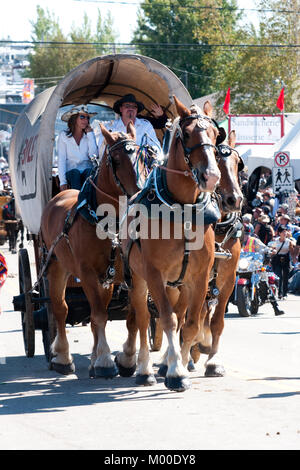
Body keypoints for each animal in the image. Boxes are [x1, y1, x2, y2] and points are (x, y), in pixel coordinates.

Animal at [39, 123, 139, 376]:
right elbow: (99, 315)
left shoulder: (125, 274)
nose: (136, 195)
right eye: (116, 159)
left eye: (140, 155)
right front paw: (104, 362)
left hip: (107, 279)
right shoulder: (87, 273)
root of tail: (60, 194)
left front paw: (124, 359)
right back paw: (62, 358)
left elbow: (130, 316)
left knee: (95, 314)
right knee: (60, 309)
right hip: (57, 266)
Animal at [116, 96, 221, 392]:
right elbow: (166, 319)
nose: (211, 176)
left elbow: (191, 324)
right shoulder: (154, 274)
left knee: (179, 315)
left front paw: (180, 364)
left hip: (179, 284)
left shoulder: (199, 277)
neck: (183, 210)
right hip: (139, 279)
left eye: (216, 134)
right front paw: (175, 373)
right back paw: (143, 369)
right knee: (141, 320)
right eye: (186, 134)